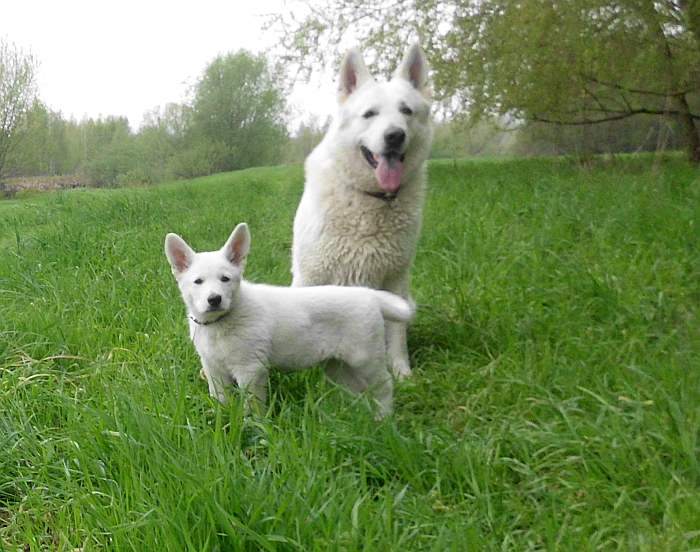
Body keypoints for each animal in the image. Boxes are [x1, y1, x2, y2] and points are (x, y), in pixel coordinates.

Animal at [166, 222, 412, 416]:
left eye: (225, 279)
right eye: (198, 281)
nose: (214, 299)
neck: (220, 323)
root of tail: (369, 294)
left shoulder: (250, 369)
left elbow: (252, 407)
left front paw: (252, 427)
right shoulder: (213, 368)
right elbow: (221, 399)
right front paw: (222, 420)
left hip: (365, 357)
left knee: (384, 385)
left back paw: (383, 419)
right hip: (338, 365)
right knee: (356, 389)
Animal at [290, 44, 432, 380]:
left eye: (406, 111)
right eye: (369, 114)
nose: (395, 135)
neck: (371, 201)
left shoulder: (396, 278)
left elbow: (397, 334)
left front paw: (401, 372)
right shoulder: (311, 276)